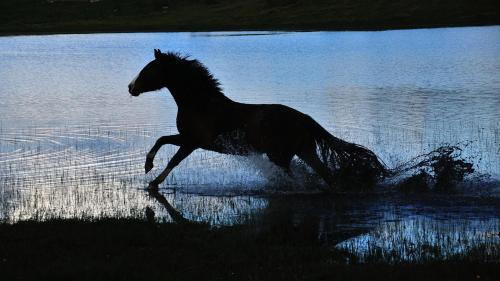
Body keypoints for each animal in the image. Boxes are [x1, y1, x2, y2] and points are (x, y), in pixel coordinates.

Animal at [129, 49, 386, 189]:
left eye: (148, 70)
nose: (131, 87)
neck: (200, 104)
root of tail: (306, 119)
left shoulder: (194, 142)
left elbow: (173, 159)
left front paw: (152, 181)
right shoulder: (187, 138)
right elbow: (162, 140)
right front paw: (148, 168)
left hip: (280, 156)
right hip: (304, 151)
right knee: (327, 176)